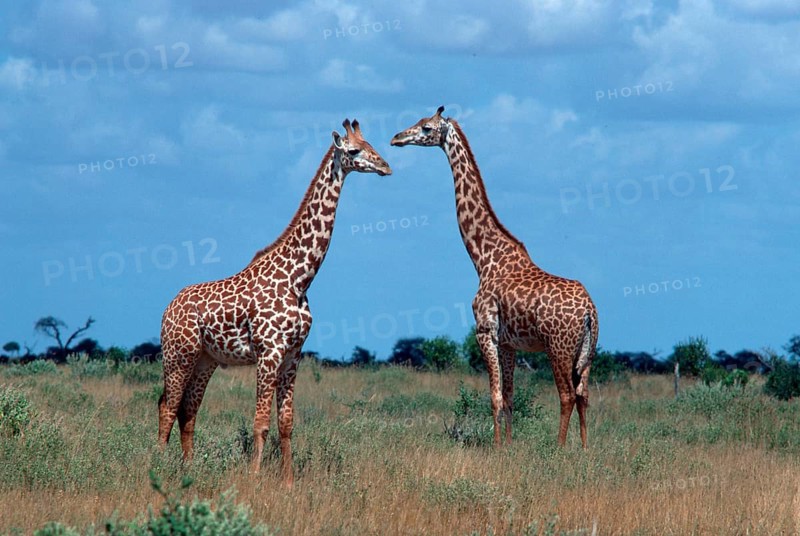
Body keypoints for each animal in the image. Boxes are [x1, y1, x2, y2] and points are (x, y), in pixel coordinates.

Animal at [158, 119, 391, 486]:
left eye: (372, 145)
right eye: (354, 150)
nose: (385, 166)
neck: (299, 277)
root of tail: (168, 306)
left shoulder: (294, 354)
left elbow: (286, 423)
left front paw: (289, 480)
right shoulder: (269, 351)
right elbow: (261, 423)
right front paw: (254, 477)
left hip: (205, 360)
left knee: (187, 410)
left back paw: (189, 468)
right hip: (178, 354)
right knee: (167, 406)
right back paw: (155, 464)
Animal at [391, 106, 598, 448]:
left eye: (426, 127)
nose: (396, 138)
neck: (484, 258)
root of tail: (590, 312)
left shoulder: (485, 331)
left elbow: (495, 396)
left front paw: (498, 446)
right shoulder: (509, 343)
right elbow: (511, 396)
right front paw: (510, 445)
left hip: (558, 347)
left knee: (567, 395)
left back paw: (559, 448)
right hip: (588, 352)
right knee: (584, 394)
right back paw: (583, 448)